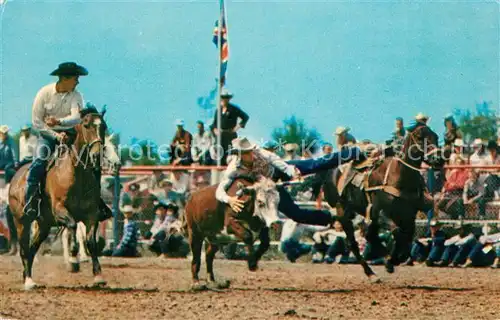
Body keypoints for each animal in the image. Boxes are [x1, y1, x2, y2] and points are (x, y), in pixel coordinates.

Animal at [7, 109, 110, 290]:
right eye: (86, 125)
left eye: (104, 126)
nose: (97, 155)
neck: (76, 175)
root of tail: (15, 178)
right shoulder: (60, 209)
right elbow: (72, 225)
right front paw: (74, 259)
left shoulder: (92, 214)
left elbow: (91, 242)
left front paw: (98, 277)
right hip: (21, 221)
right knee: (24, 249)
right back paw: (28, 282)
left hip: (44, 225)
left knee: (32, 249)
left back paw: (28, 276)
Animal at [320, 124, 442, 278]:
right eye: (420, 137)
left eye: (436, 137)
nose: (438, 159)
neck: (399, 176)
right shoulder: (382, 214)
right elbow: (398, 232)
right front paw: (392, 260)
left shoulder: (408, 216)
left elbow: (407, 235)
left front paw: (396, 258)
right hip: (343, 211)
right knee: (353, 243)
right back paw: (371, 272)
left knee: (369, 236)